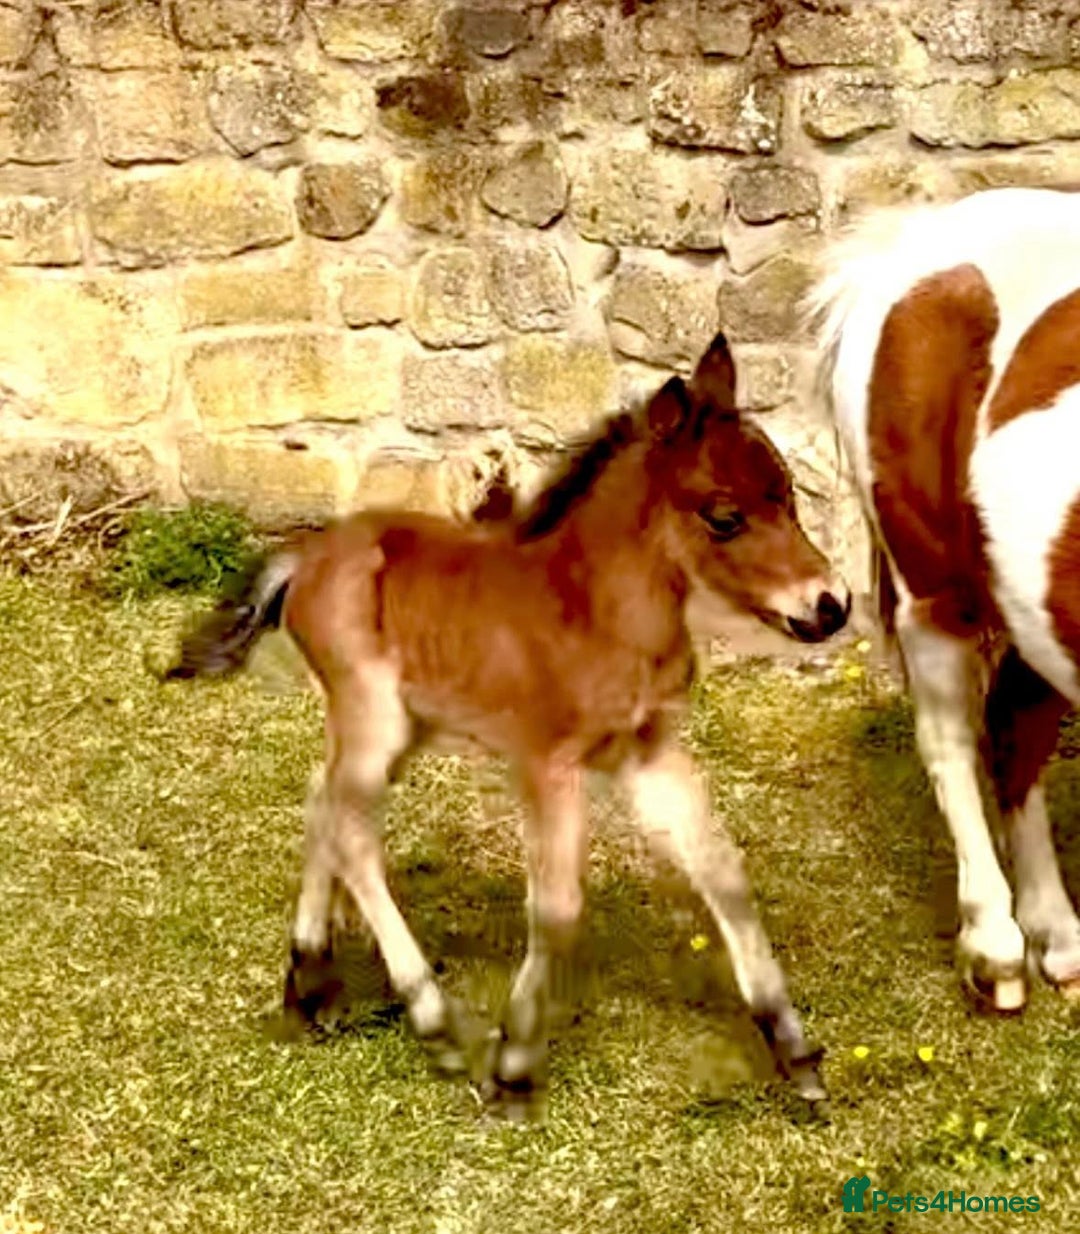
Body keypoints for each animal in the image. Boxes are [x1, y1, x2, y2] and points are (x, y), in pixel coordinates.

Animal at [166, 331, 850, 1114]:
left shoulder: (650, 752)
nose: (831, 605)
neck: (596, 612)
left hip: (402, 725)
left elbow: (723, 872)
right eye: (724, 517)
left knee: (322, 801)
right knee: (352, 828)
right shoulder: (547, 763)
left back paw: (308, 983)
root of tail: (304, 556)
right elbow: (556, 906)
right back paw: (432, 1022)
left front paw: (794, 1052)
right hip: (372, 713)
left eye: (788, 494)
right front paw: (515, 1064)